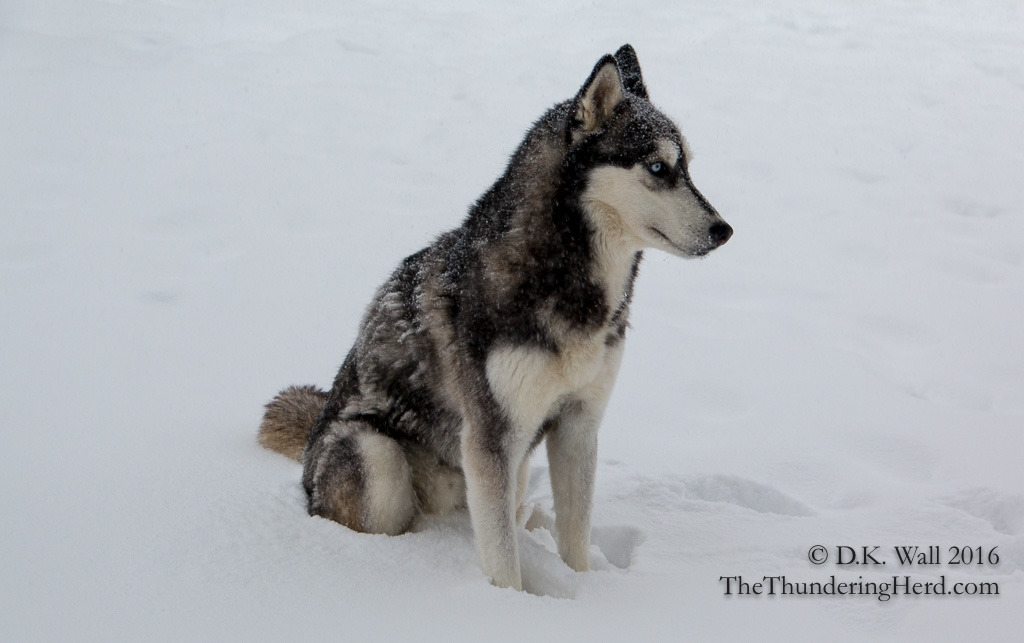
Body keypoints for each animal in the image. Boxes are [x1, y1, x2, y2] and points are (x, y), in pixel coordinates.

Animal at [260, 42, 733, 589]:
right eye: (658, 168)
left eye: (688, 167)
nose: (724, 230)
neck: (564, 279)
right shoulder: (491, 436)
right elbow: (503, 563)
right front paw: (510, 600)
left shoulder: (578, 425)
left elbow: (574, 540)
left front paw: (581, 586)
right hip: (379, 462)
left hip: (513, 466)